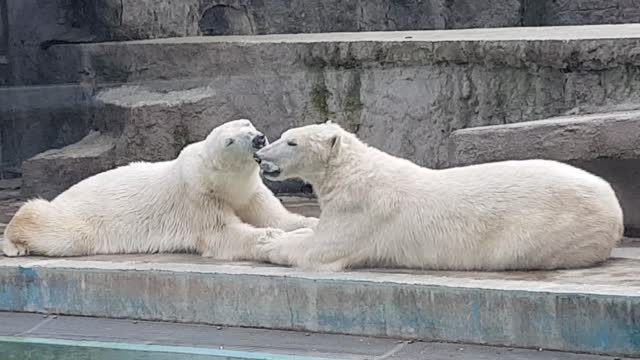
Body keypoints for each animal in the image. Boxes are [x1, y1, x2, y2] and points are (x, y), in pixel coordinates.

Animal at [2, 119, 318, 258]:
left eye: (247, 124)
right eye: (229, 141)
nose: (258, 138)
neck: (222, 184)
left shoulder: (250, 192)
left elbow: (276, 215)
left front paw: (309, 222)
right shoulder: (197, 198)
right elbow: (223, 235)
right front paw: (272, 236)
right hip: (79, 219)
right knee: (51, 225)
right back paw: (14, 245)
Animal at [252, 122, 624, 272]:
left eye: (291, 142)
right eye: (284, 135)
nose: (259, 155)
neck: (350, 173)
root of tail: (614, 203)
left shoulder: (363, 212)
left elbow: (322, 248)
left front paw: (271, 244)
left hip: (551, 229)